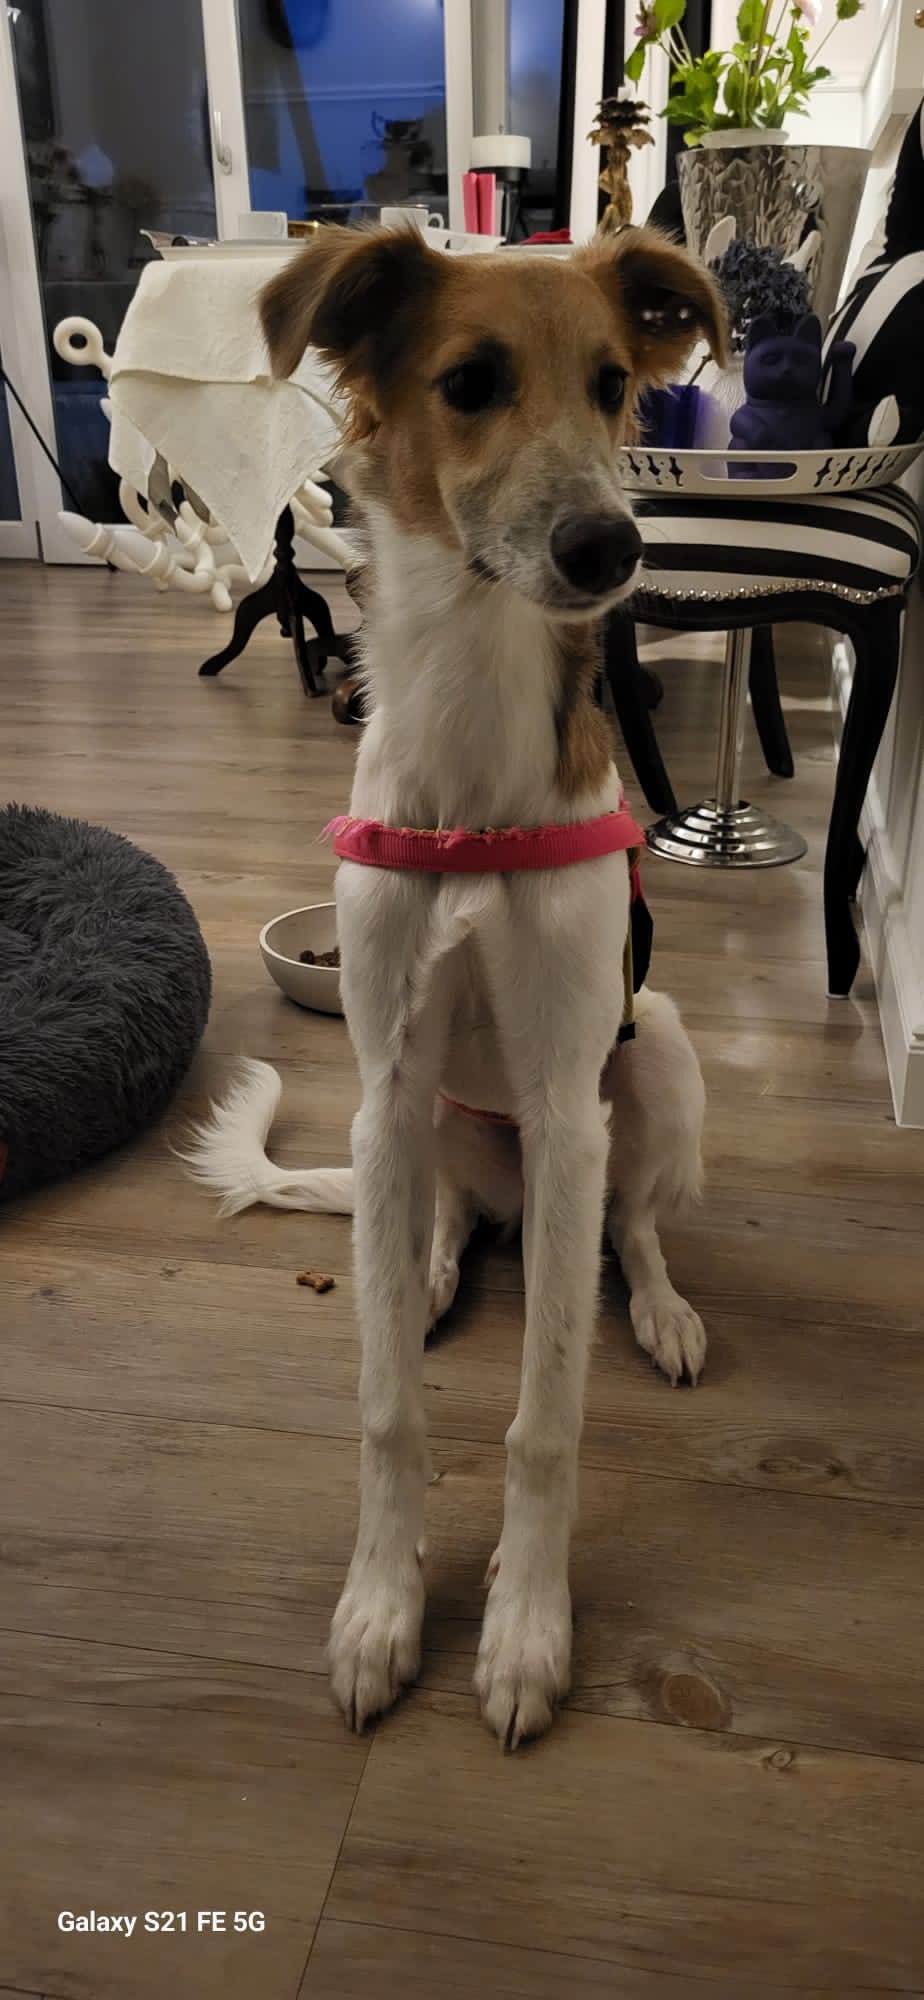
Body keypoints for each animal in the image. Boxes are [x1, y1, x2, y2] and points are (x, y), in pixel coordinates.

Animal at [187, 224, 726, 1747]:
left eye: (612, 384)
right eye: (472, 382)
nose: (611, 547)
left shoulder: (561, 1098)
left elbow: (546, 1417)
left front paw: (526, 1627)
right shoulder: (385, 1075)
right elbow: (388, 1408)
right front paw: (381, 1609)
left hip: (654, 1061)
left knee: (628, 1229)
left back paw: (658, 1305)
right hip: (423, 1125)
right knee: (446, 1223)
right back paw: (425, 1264)